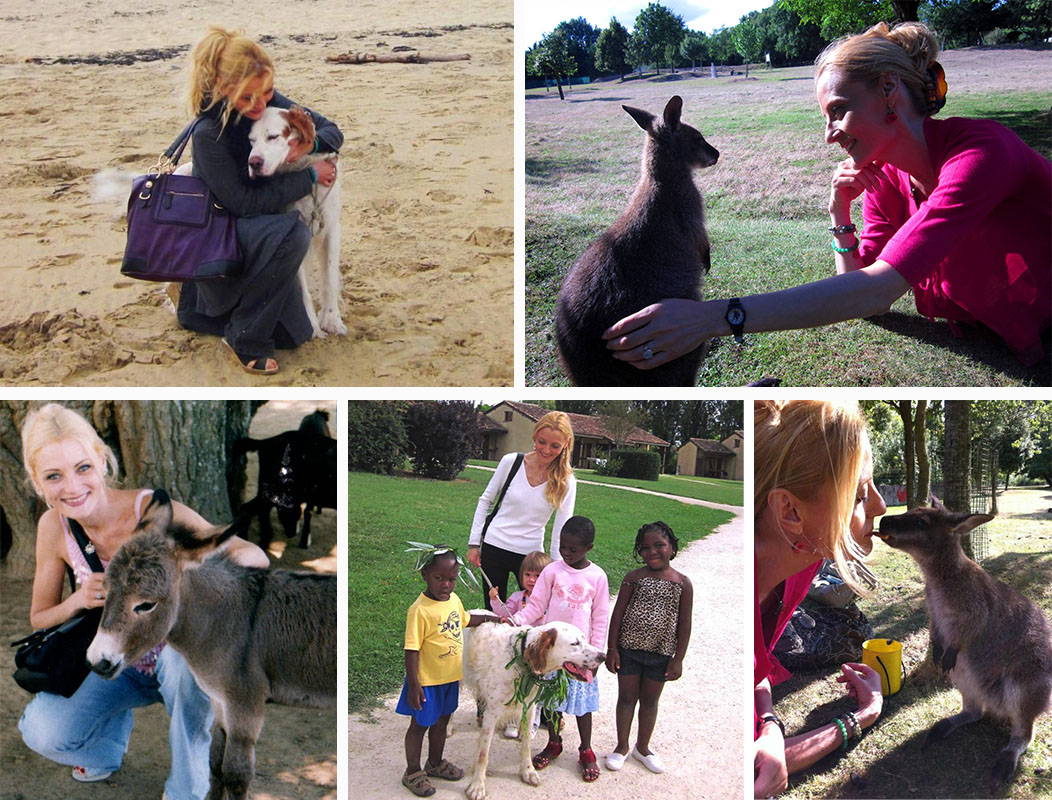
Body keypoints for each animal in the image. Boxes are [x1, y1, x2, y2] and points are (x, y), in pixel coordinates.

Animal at [86, 488, 334, 800]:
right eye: (104, 591)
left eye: (146, 605)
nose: (97, 661)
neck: (228, 618)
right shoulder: (219, 703)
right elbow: (215, 765)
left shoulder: (245, 710)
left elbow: (236, 776)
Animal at [462, 618, 605, 800]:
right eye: (575, 643)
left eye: (585, 639)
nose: (603, 656)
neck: (520, 658)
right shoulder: (492, 712)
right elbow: (483, 753)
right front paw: (477, 785)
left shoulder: (529, 708)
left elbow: (526, 746)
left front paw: (527, 771)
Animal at [879, 501, 1052, 795]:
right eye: (909, 512)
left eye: (921, 523)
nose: (882, 522)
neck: (940, 577)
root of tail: (998, 707)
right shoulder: (934, 613)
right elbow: (936, 632)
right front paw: (937, 653)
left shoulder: (975, 609)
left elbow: (968, 630)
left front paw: (947, 651)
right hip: (963, 677)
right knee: (974, 712)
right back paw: (941, 728)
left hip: (1027, 681)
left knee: (1025, 733)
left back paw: (1004, 762)